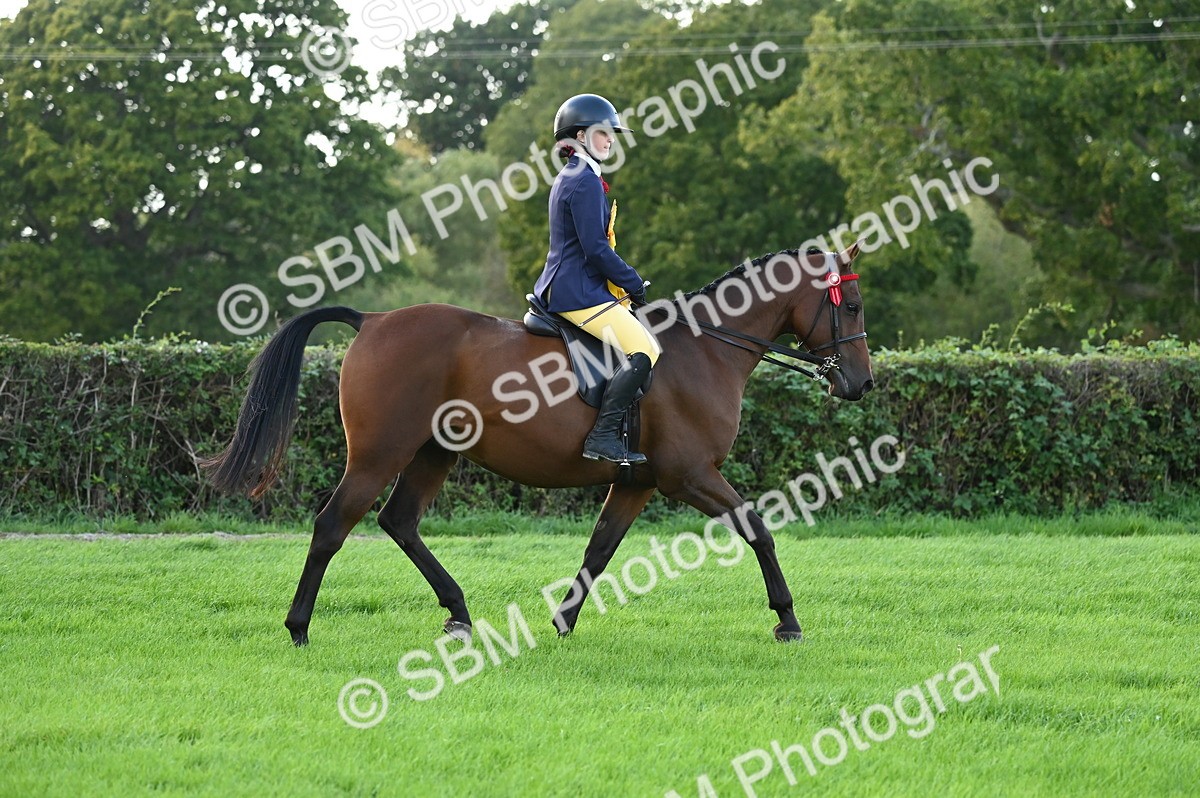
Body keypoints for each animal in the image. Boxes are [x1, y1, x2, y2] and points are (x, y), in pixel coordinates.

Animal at [202, 243, 873, 646]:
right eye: (853, 306)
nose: (861, 384)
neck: (706, 348)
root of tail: (373, 320)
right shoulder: (689, 474)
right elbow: (757, 528)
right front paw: (788, 620)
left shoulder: (637, 482)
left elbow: (599, 550)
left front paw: (563, 622)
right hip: (378, 455)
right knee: (333, 525)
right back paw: (299, 627)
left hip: (434, 453)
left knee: (399, 521)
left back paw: (459, 614)